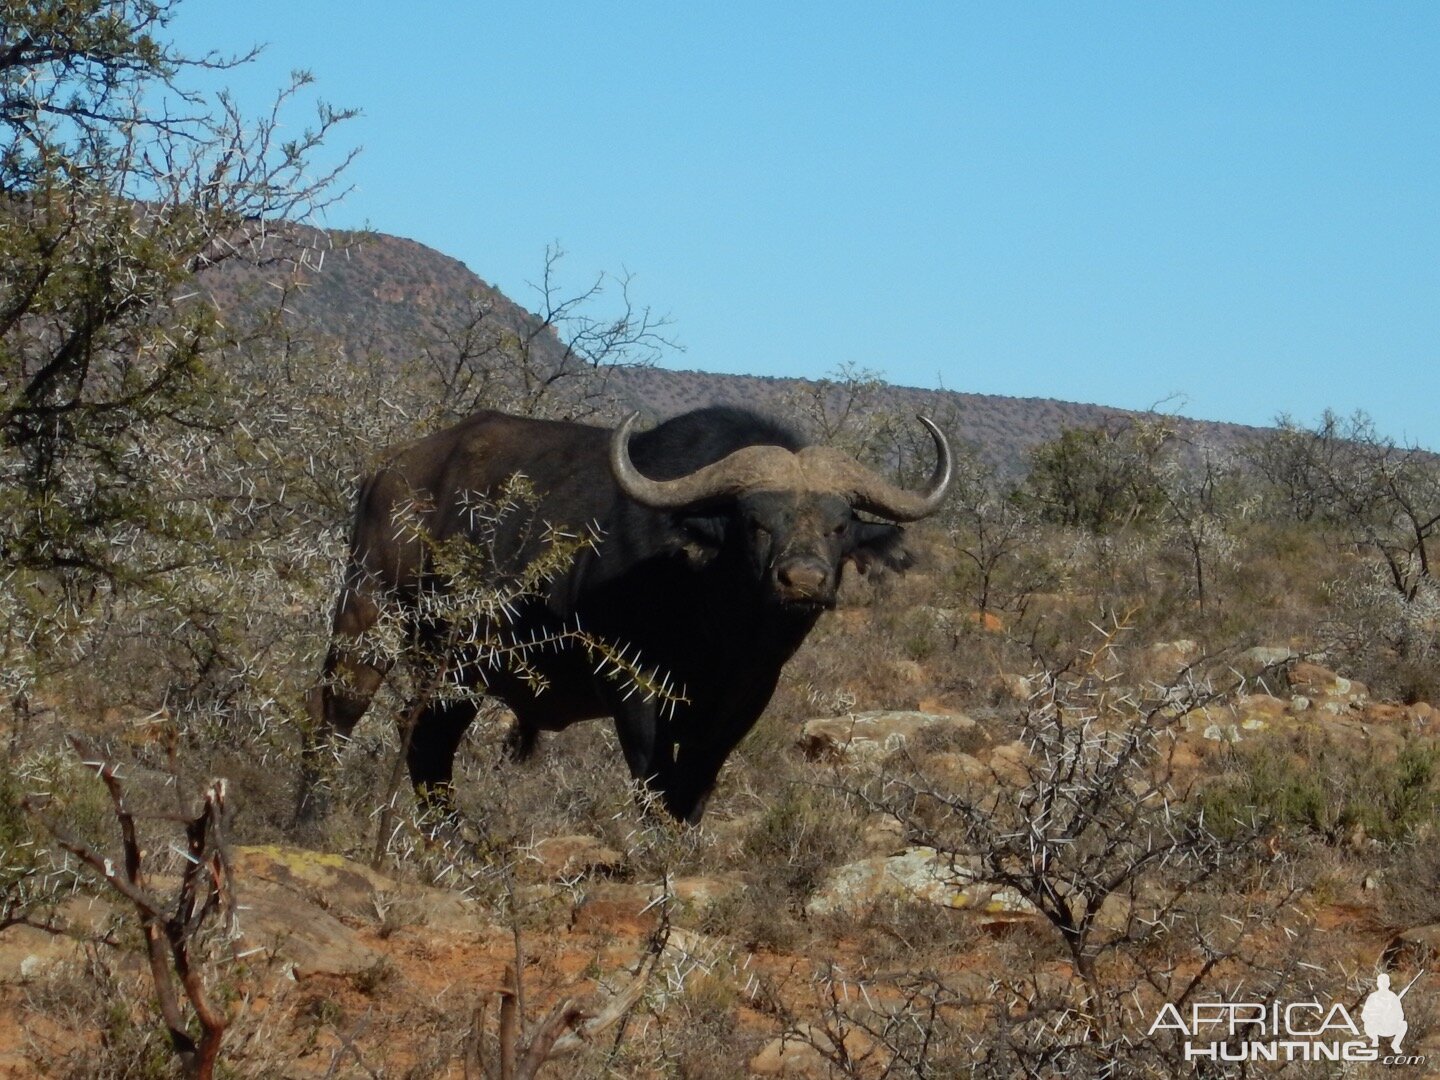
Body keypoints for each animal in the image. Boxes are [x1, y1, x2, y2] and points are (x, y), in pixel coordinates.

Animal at [302, 403, 950, 817]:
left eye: (840, 525)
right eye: (755, 521)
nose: (803, 581)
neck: (720, 628)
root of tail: (387, 472)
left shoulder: (743, 704)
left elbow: (693, 789)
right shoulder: (634, 688)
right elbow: (653, 783)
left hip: (461, 667)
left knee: (426, 740)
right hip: (368, 619)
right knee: (333, 718)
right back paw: (311, 819)